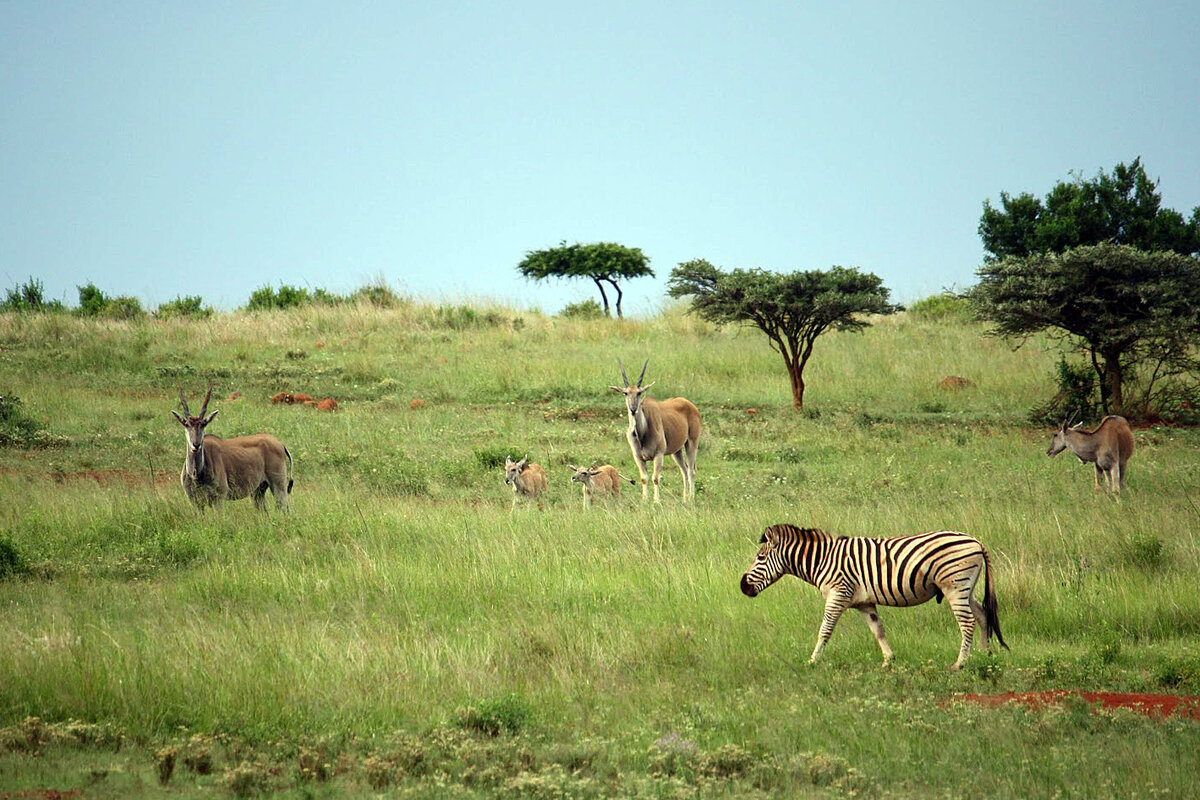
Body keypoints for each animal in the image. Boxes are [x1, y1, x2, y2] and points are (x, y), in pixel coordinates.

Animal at [609, 362, 700, 501]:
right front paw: (645, 499)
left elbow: (656, 478)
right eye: (625, 393)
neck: (643, 433)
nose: (633, 409)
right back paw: (685, 499)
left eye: (639, 393)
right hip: (677, 451)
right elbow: (644, 478)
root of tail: (690, 405)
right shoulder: (638, 457)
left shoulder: (659, 454)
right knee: (684, 470)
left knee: (691, 471)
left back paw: (691, 498)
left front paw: (656, 501)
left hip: (692, 443)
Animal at [734, 525, 1008, 671]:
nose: (742, 586)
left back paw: (959, 664)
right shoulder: (864, 602)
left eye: (760, 557)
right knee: (983, 615)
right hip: (965, 588)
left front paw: (812, 661)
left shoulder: (838, 594)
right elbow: (878, 630)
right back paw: (985, 657)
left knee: (967, 623)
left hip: (954, 586)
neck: (822, 559)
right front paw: (888, 661)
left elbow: (824, 630)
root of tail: (976, 541)